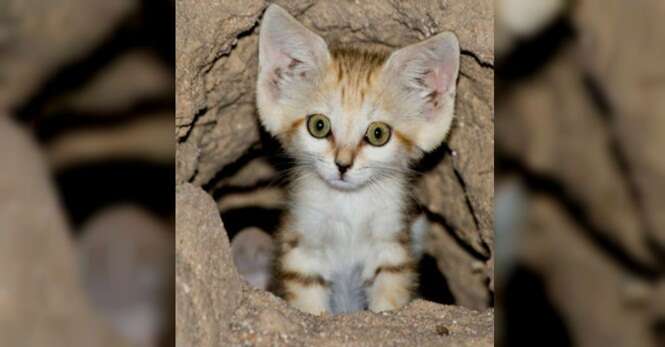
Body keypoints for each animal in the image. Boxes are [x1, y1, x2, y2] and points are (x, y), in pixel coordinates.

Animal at [254, 4, 456, 316]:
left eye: (378, 133)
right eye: (319, 126)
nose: (342, 164)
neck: (349, 205)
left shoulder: (392, 248)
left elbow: (389, 297)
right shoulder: (302, 248)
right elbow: (309, 302)